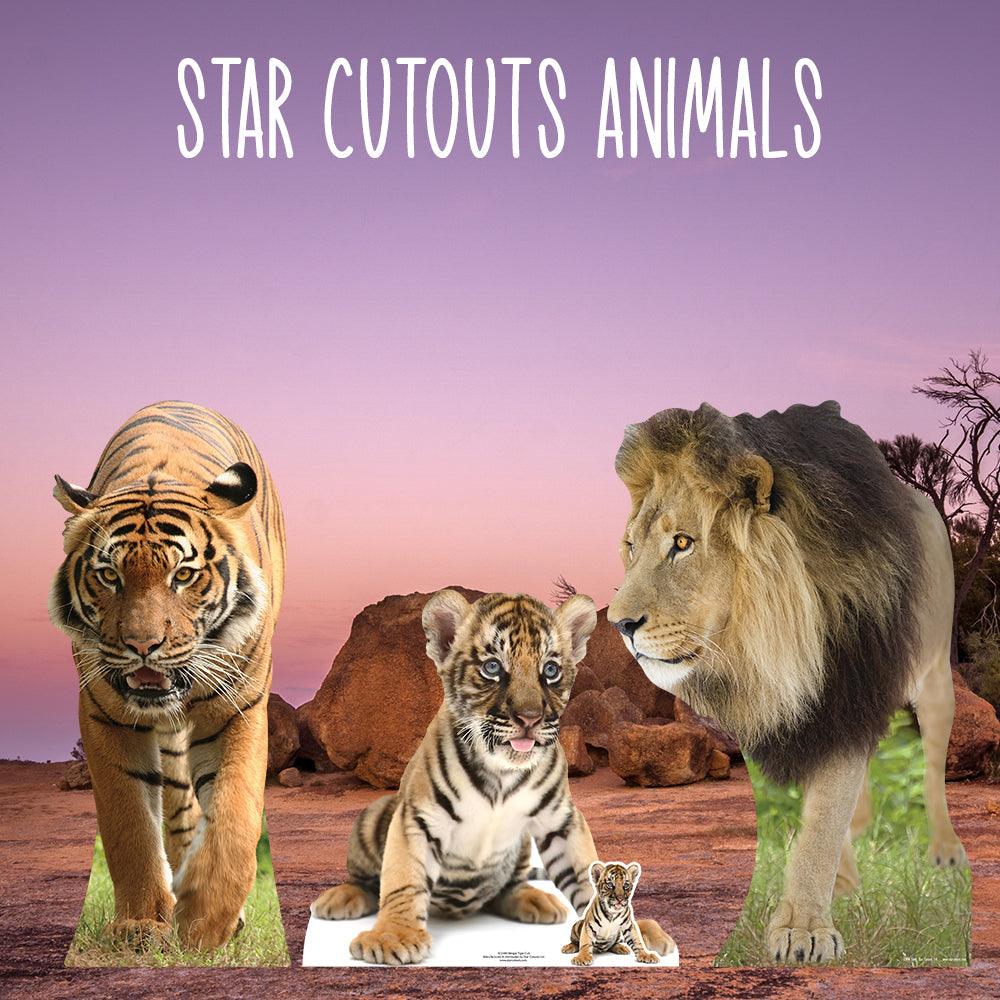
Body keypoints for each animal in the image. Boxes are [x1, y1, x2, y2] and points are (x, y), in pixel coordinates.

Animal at [607, 400, 968, 964]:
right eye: (630, 546)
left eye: (683, 543)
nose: (619, 625)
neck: (763, 649)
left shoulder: (850, 685)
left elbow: (822, 820)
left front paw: (803, 928)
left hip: (931, 672)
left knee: (932, 757)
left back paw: (945, 848)